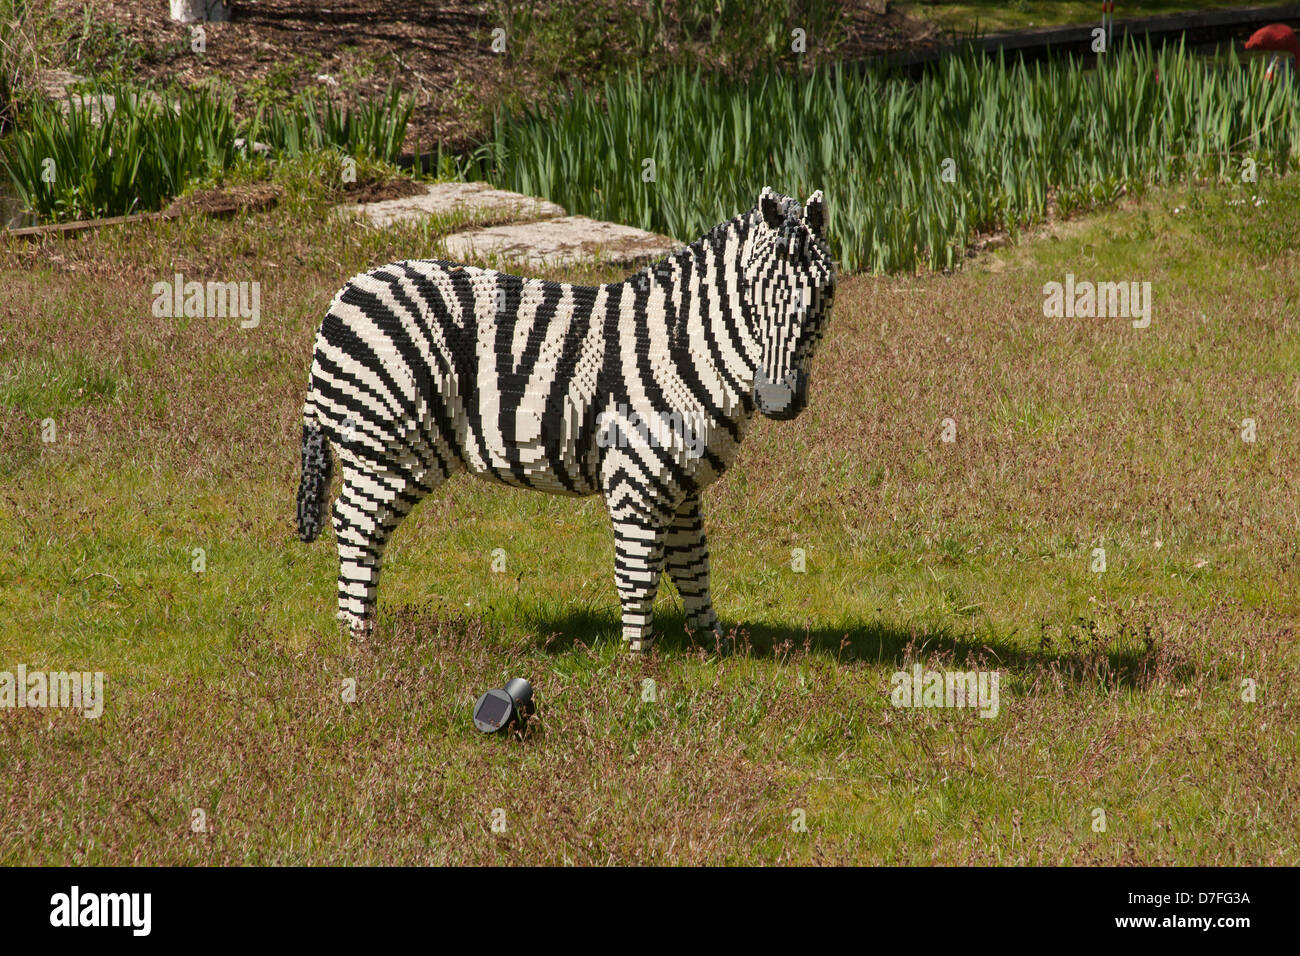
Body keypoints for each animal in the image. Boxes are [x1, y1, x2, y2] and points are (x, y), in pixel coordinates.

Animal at [295, 186, 836, 652]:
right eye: (754, 291)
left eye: (822, 294)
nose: (778, 401)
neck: (684, 344)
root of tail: (345, 294)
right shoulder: (637, 476)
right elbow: (640, 569)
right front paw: (639, 663)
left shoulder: (682, 482)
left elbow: (693, 565)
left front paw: (715, 647)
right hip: (391, 446)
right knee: (357, 524)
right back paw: (359, 638)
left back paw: (350, 626)